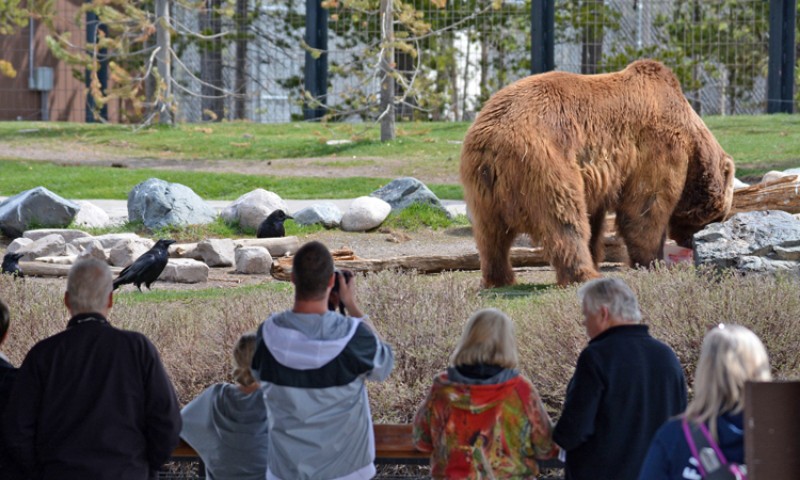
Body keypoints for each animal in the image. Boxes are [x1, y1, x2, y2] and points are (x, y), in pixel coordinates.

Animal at [460, 59, 736, 284]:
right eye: (719, 216)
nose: (691, 242)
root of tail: (492, 144)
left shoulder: (599, 178)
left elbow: (597, 216)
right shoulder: (659, 146)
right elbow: (646, 207)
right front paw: (653, 261)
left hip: (482, 187)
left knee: (490, 235)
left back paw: (499, 277)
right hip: (544, 161)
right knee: (564, 218)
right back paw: (584, 274)